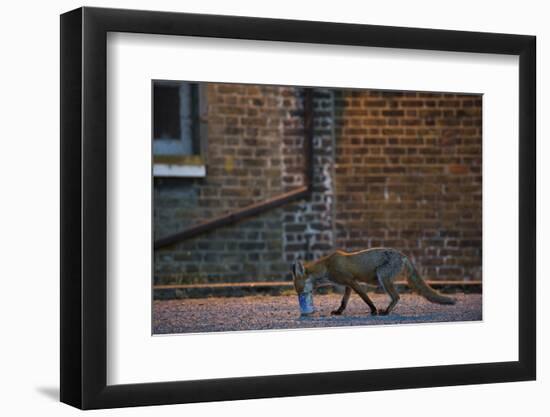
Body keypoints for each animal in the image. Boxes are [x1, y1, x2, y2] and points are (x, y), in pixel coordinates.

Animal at [294, 247, 458, 316]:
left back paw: (386, 311)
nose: (300, 299)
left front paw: (372, 310)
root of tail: (403, 255)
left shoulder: (352, 282)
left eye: (300, 290)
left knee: (397, 297)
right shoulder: (348, 285)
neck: (327, 267)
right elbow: (344, 302)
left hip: (382, 277)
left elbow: (366, 298)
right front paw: (339, 312)